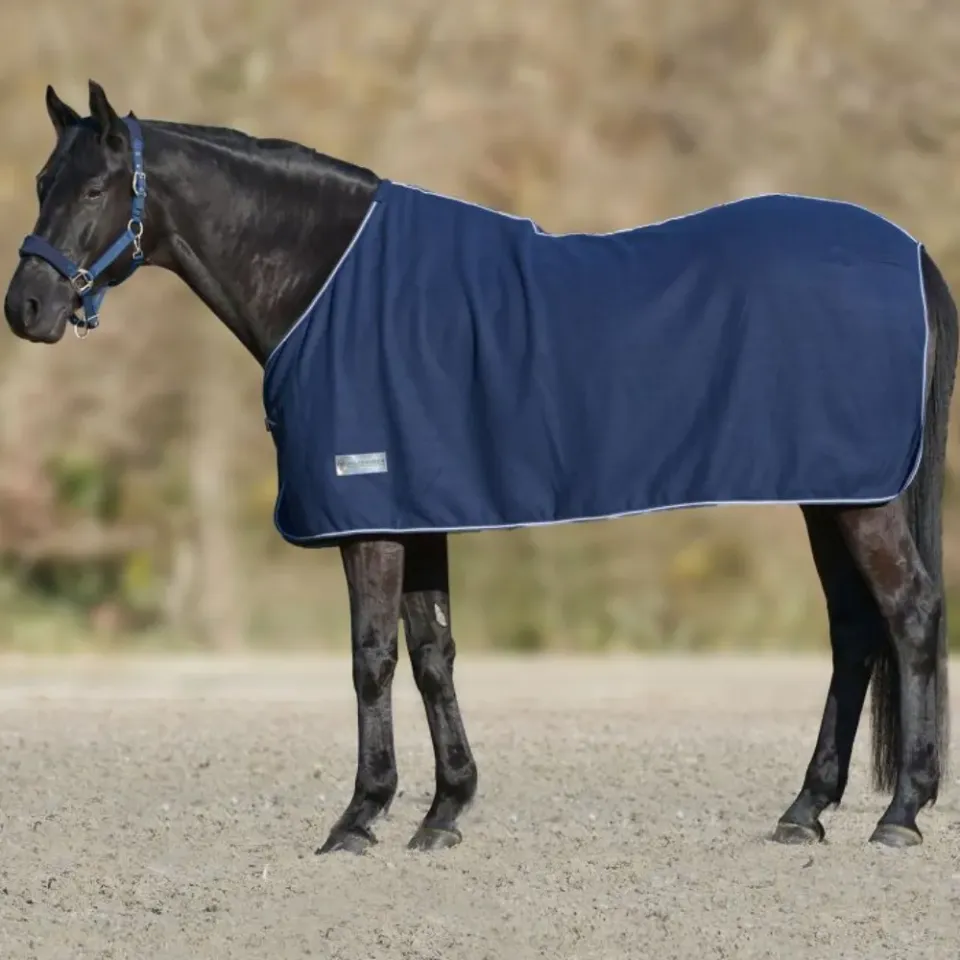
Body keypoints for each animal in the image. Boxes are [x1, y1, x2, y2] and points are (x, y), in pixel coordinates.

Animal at [3, 80, 956, 855]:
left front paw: (360, 817)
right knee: (853, 630)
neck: (328, 282)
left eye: (95, 188)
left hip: (860, 500)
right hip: (833, 493)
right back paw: (807, 809)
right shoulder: (414, 512)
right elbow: (434, 654)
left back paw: (900, 813)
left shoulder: (371, 519)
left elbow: (372, 658)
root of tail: (908, 251)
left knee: (908, 614)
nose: (28, 307)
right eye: (43, 182)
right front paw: (443, 811)